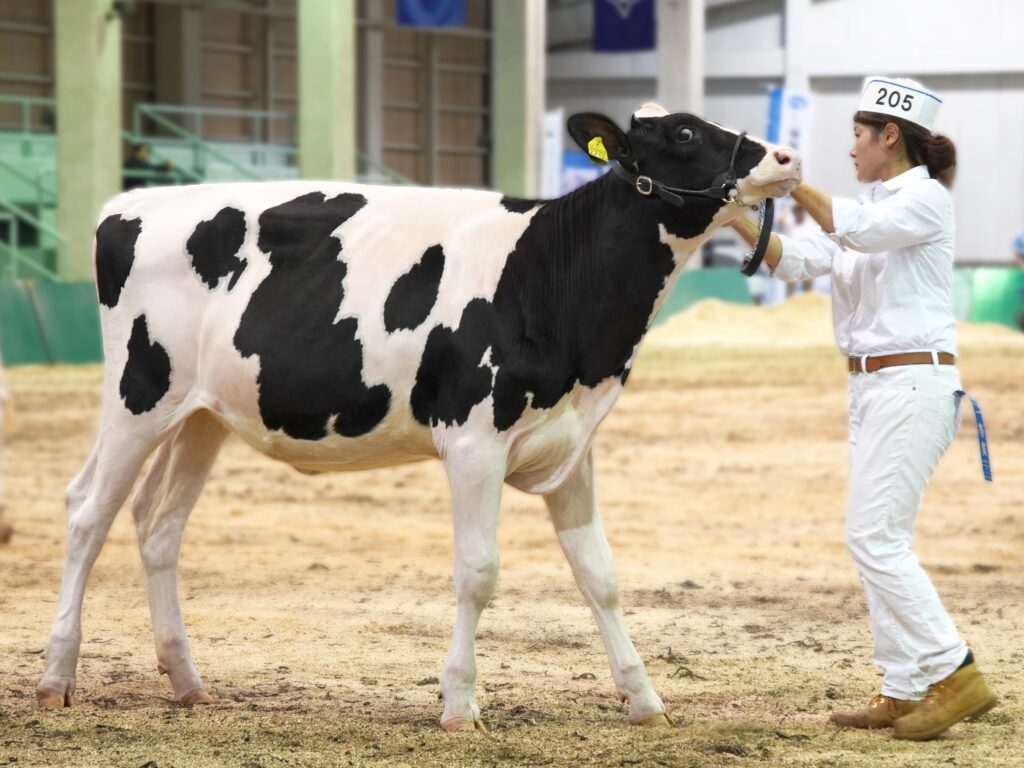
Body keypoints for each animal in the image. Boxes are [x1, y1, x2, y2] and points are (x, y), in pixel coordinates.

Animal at [37, 105, 798, 729]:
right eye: (685, 133)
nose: (787, 157)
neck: (553, 276)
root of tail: (134, 201)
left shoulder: (574, 445)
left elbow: (600, 575)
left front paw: (643, 698)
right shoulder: (473, 442)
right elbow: (478, 571)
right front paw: (460, 703)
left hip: (202, 414)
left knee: (157, 524)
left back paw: (187, 680)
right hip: (138, 395)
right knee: (86, 512)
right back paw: (56, 676)